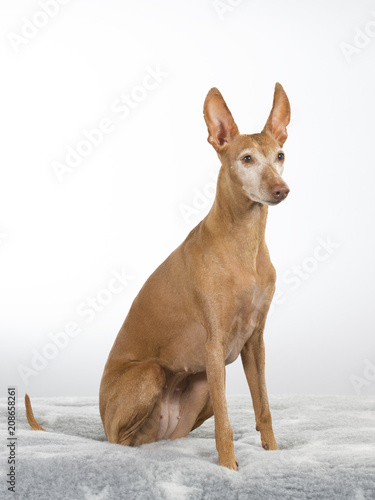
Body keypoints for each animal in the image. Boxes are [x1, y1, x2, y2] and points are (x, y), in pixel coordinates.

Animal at [26, 84, 292, 470]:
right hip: (153, 374)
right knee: (118, 442)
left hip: (201, 385)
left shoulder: (254, 343)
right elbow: (226, 423)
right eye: (247, 159)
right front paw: (228, 466)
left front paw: (273, 455)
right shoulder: (214, 347)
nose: (281, 190)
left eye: (280, 155)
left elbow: (265, 409)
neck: (245, 243)